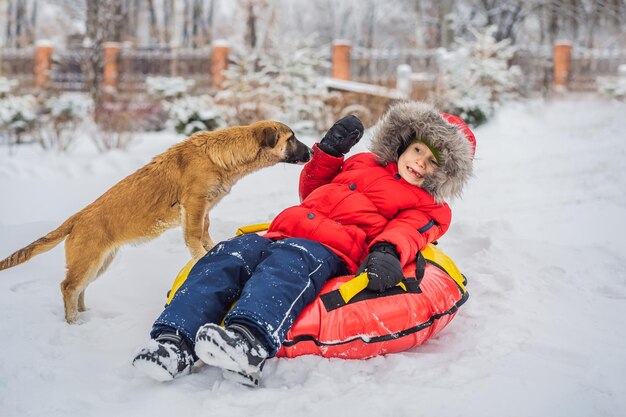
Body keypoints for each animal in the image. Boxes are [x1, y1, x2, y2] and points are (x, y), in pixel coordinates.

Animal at [0, 119, 312, 322]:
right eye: (292, 138)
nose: (311, 151)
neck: (222, 157)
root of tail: (75, 219)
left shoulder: (205, 209)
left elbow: (206, 234)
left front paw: (213, 249)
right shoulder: (194, 205)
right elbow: (194, 237)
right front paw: (203, 256)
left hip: (100, 262)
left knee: (79, 289)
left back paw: (85, 316)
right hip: (88, 261)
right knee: (68, 287)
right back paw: (73, 323)